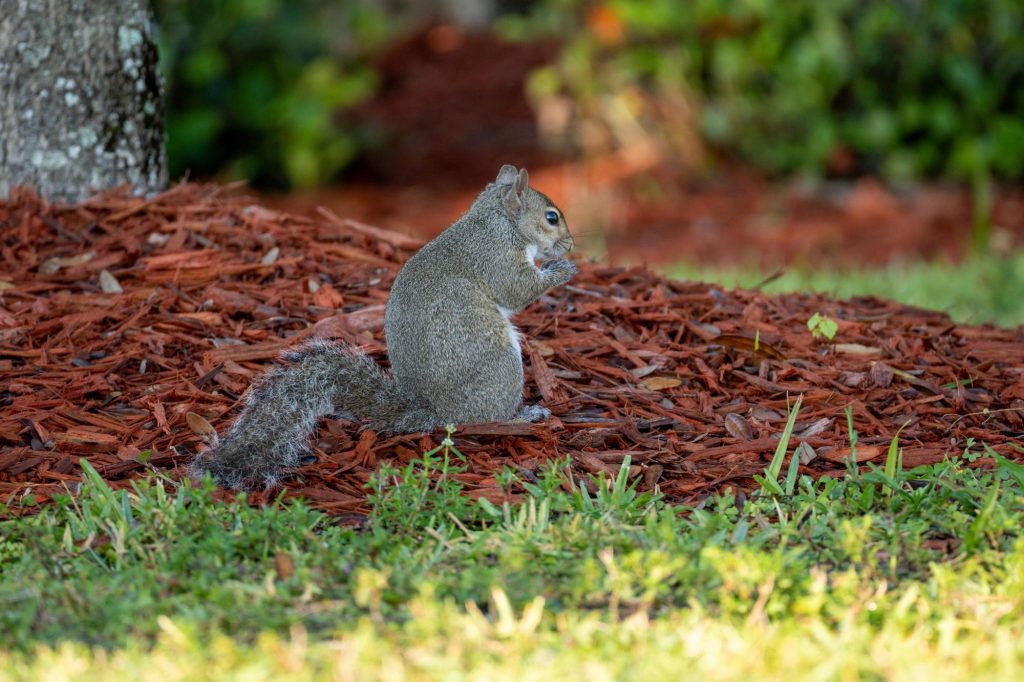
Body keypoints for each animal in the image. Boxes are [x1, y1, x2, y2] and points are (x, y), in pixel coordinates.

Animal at [190, 164, 576, 489]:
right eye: (551, 217)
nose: (572, 245)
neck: (497, 220)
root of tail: (432, 409)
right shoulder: (495, 257)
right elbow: (516, 289)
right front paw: (562, 269)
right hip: (500, 366)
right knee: (486, 418)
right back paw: (523, 416)